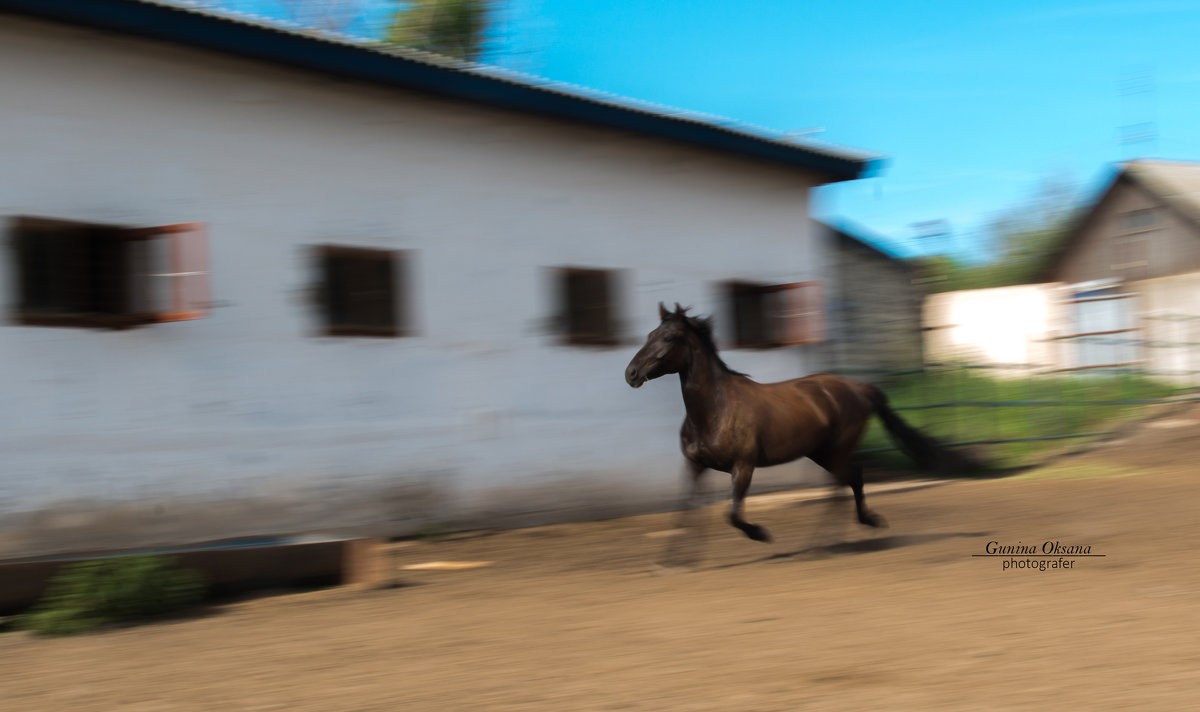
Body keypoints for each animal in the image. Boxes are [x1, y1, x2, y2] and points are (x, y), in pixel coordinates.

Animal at [628, 301, 974, 545]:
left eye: (669, 337)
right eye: (649, 335)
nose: (631, 373)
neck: (714, 410)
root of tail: (859, 388)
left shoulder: (743, 465)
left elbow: (733, 514)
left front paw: (762, 534)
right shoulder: (696, 465)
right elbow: (686, 511)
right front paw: (675, 561)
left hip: (836, 449)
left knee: (844, 482)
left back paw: (827, 539)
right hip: (821, 452)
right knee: (853, 478)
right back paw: (858, 526)